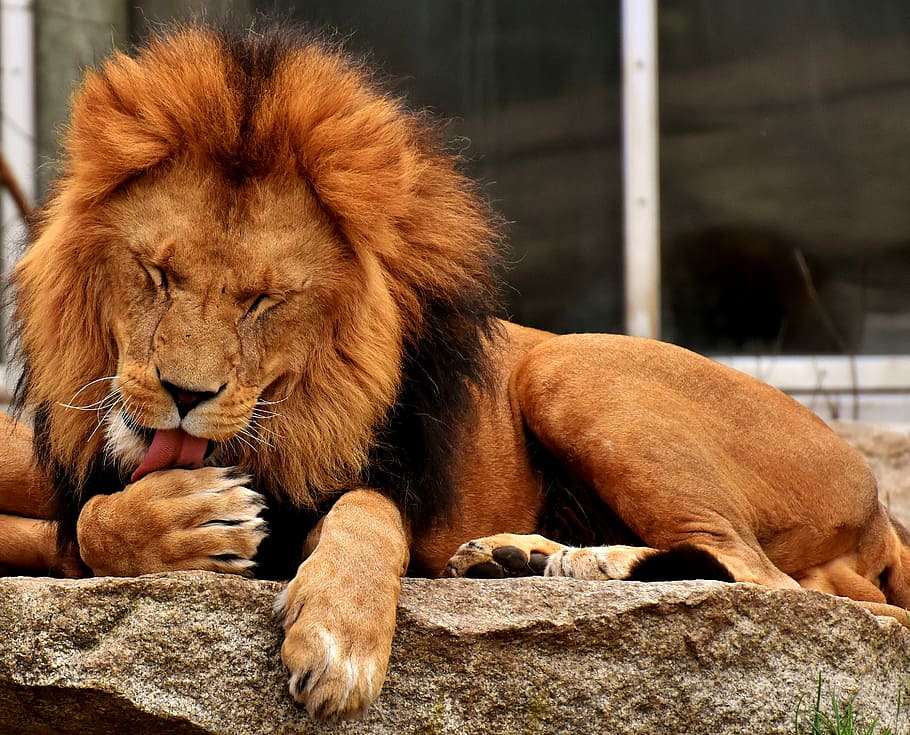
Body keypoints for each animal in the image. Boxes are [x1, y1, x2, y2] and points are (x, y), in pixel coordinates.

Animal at [1, 22, 909, 722]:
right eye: (157, 274)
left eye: (263, 300)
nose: (185, 396)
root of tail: (878, 506)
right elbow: (87, 521)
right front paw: (183, 519)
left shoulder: (373, 485)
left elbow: (366, 513)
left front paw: (338, 640)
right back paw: (522, 559)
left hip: (566, 367)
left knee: (767, 581)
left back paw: (589, 567)